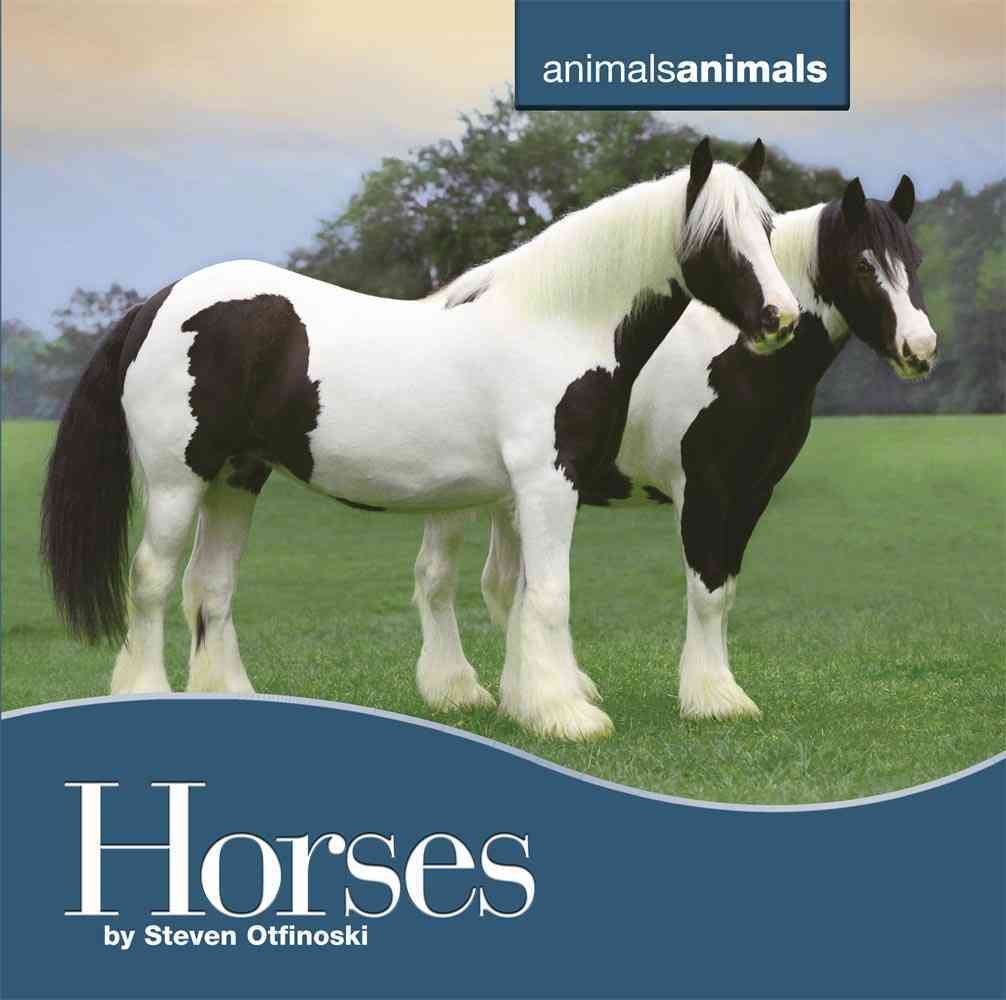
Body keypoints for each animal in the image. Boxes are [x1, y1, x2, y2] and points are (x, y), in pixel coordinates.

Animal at [41, 138, 801, 742]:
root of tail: (156, 304)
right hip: (180, 481)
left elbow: (519, 595)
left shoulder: (522, 494)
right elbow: (549, 595)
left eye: (767, 226)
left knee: (210, 586)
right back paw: (145, 692)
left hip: (236, 476)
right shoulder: (548, 484)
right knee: (152, 581)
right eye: (717, 236)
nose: (781, 317)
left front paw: (530, 704)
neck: (557, 321)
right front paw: (569, 716)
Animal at [414, 174, 938, 727]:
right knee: (437, 578)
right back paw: (456, 690)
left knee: (502, 584)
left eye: (916, 259)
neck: (735, 354)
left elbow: (725, 591)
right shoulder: (703, 487)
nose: (920, 349)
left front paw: (718, 685)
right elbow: (705, 591)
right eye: (863, 265)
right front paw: (712, 697)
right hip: (456, 496)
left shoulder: (752, 492)